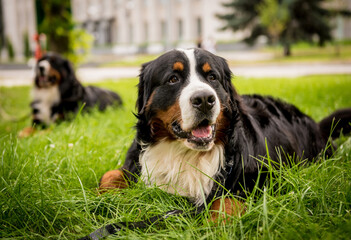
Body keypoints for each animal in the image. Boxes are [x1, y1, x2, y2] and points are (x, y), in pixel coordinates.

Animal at [99, 48, 351, 219]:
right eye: (173, 78)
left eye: (212, 77)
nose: (204, 99)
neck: (182, 153)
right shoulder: (136, 162)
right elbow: (110, 175)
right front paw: (105, 198)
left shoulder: (266, 176)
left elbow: (227, 199)